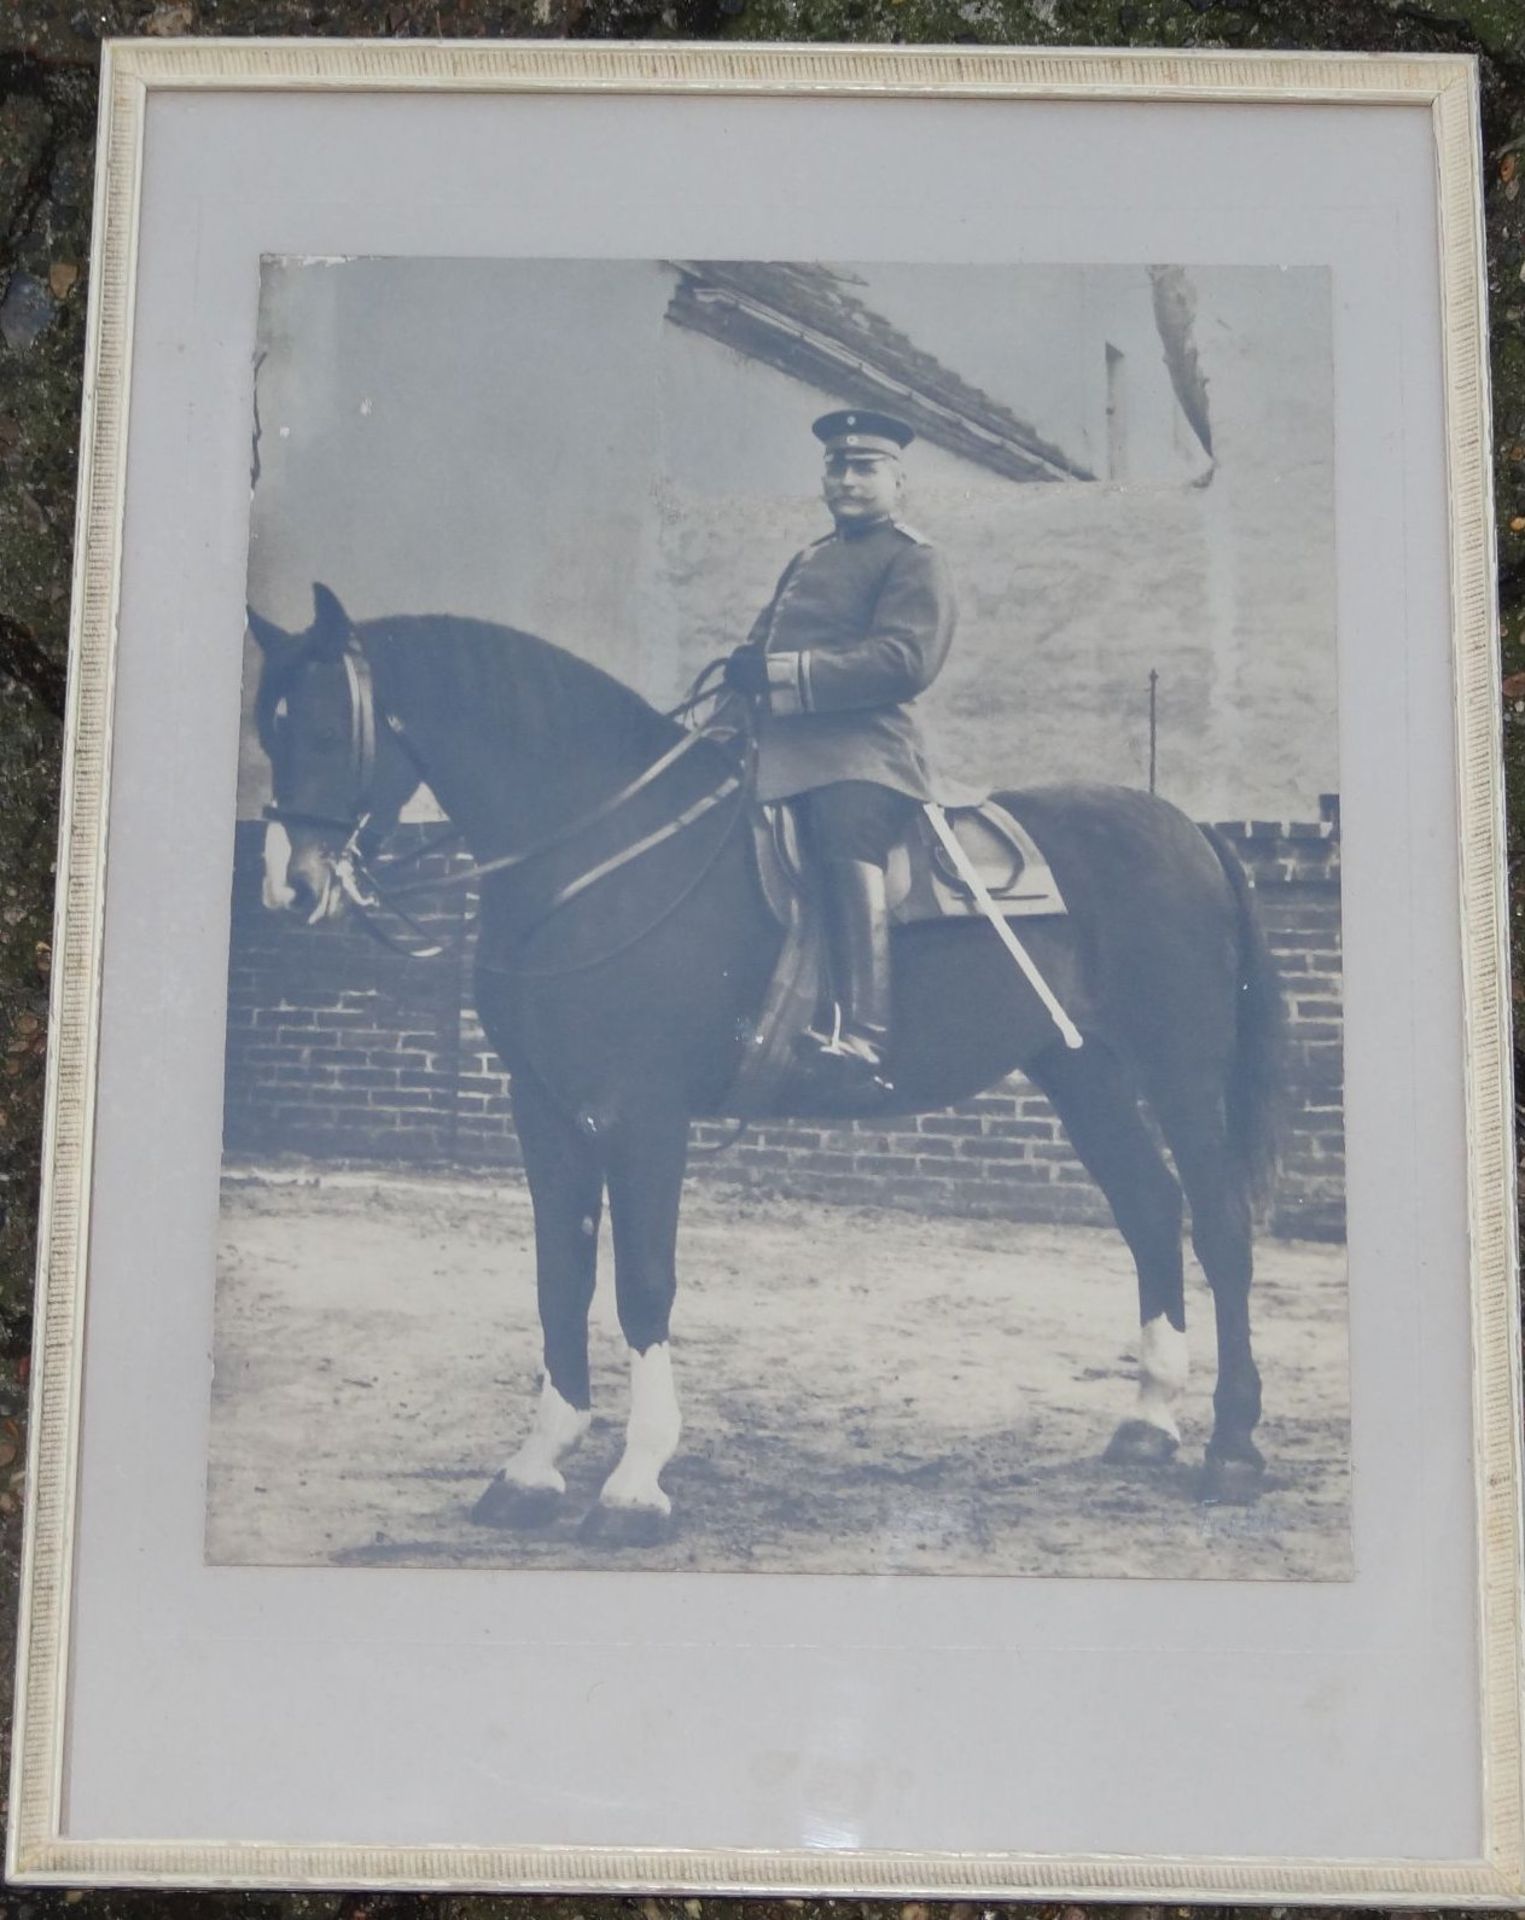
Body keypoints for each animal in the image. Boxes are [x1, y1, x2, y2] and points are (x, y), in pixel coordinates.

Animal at [249, 583, 1282, 1543]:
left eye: (332, 727)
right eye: (268, 725)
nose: (288, 888)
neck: (598, 852)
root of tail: (1191, 831)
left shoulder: (644, 1114)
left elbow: (642, 1283)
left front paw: (634, 1485)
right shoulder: (542, 1110)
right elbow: (559, 1277)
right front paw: (535, 1470)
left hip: (1178, 1070)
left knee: (1220, 1230)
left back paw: (1231, 1449)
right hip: (1084, 1072)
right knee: (1147, 1210)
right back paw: (1148, 1421)